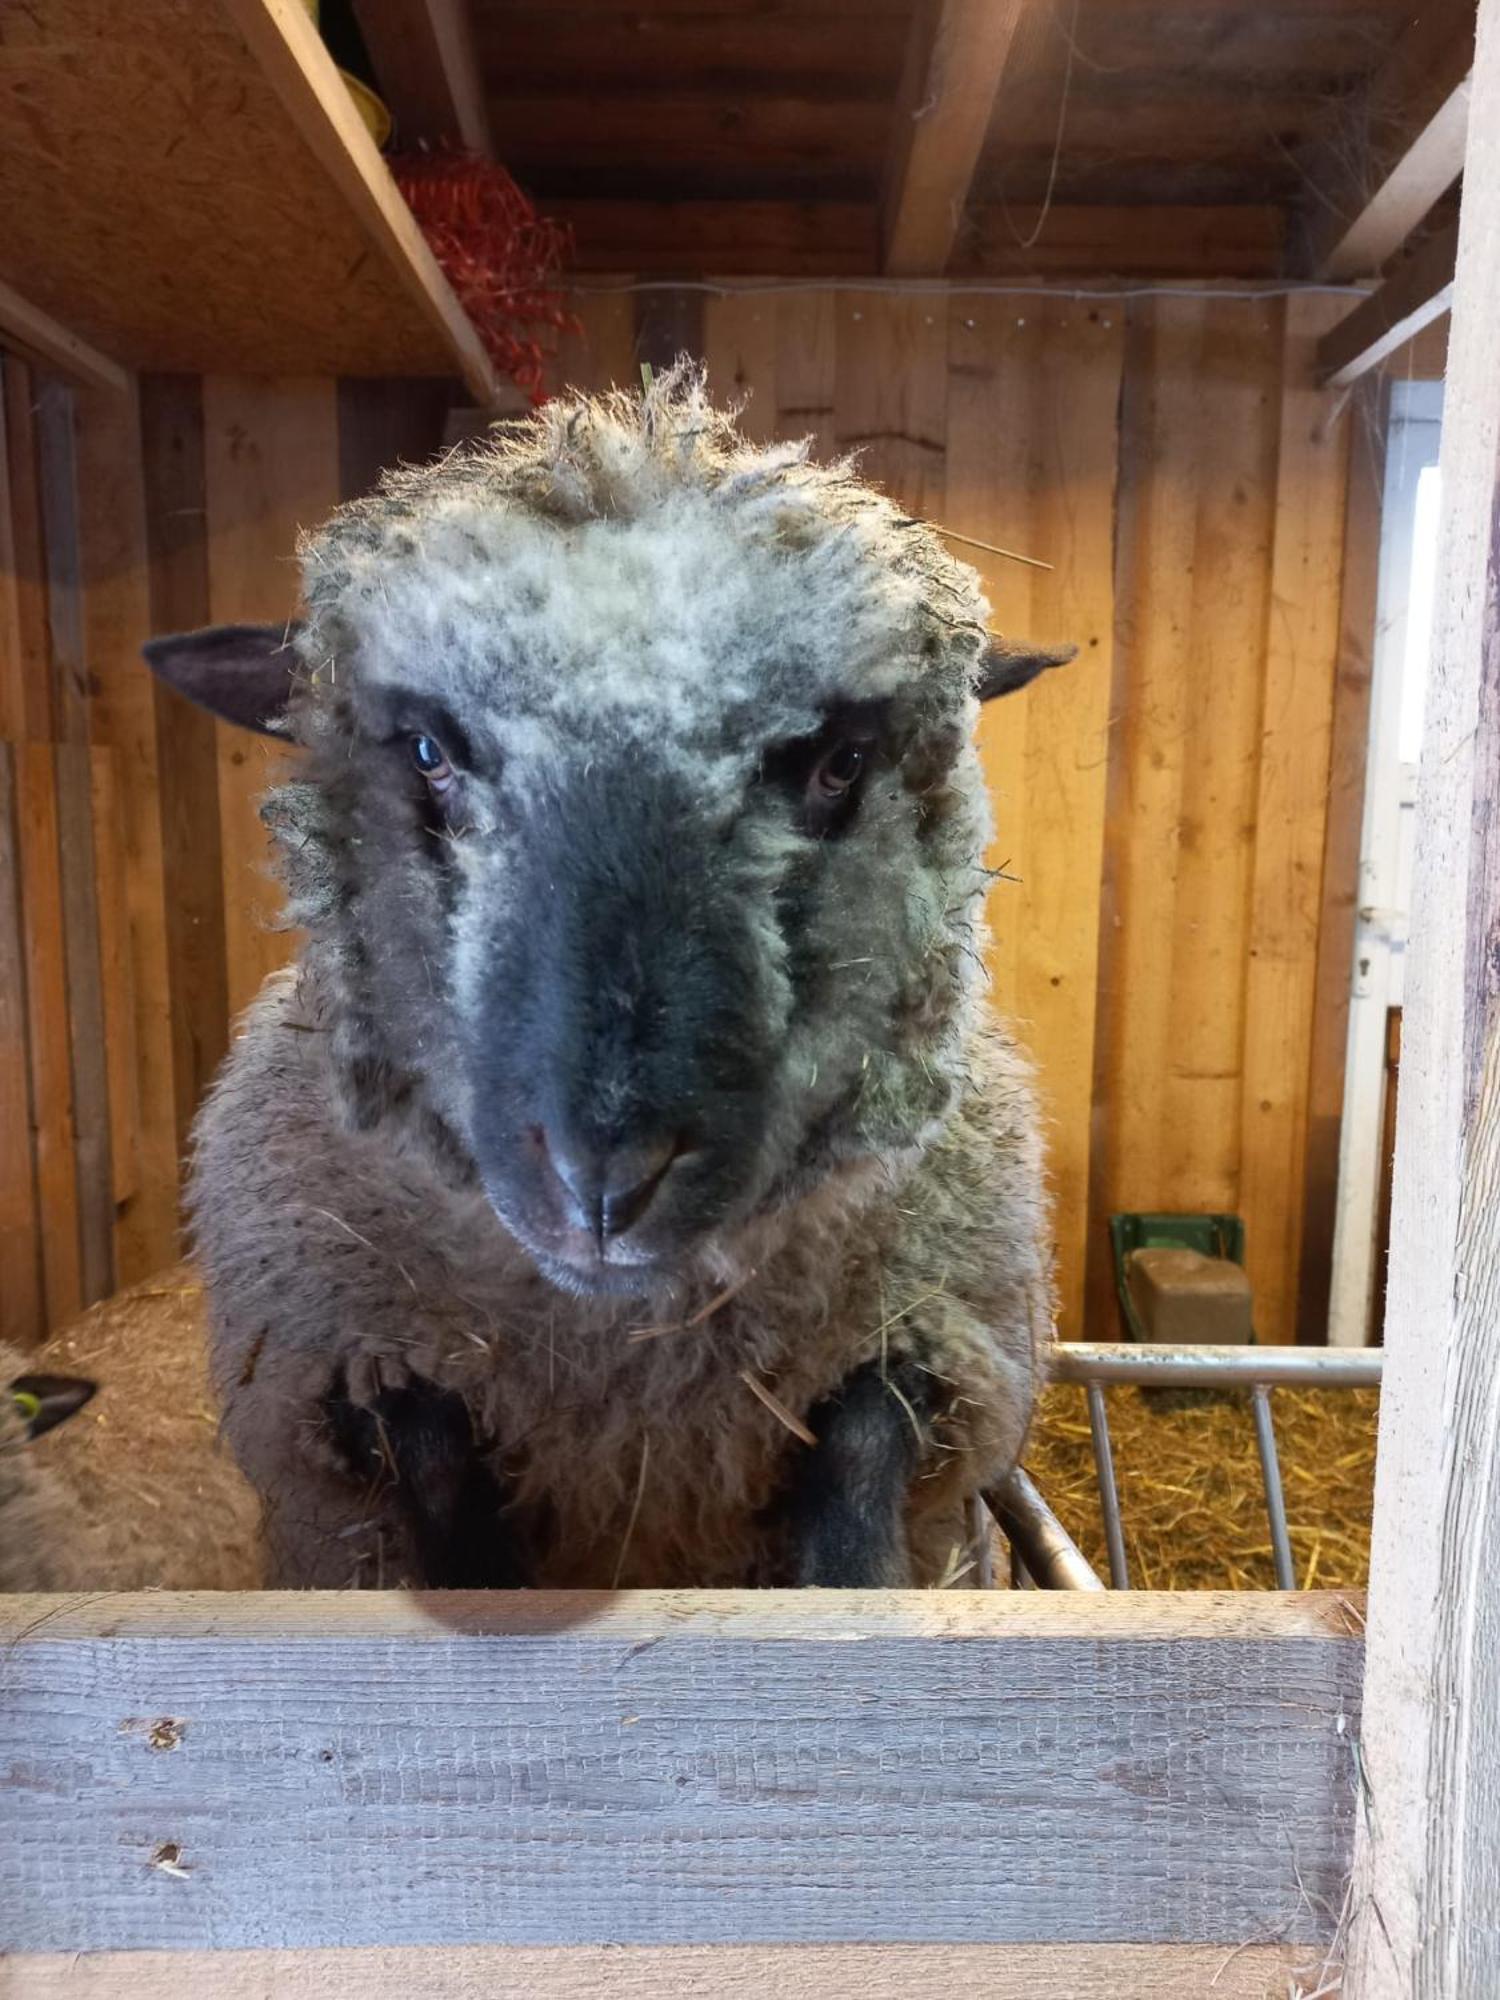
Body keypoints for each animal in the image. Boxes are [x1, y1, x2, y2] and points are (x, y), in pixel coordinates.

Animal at [138, 364, 1056, 1592]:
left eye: (839, 763)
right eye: (429, 750)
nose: (607, 1183)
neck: (629, 1349)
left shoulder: (931, 1341)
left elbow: (861, 1470)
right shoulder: (350, 1359)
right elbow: (442, 1483)